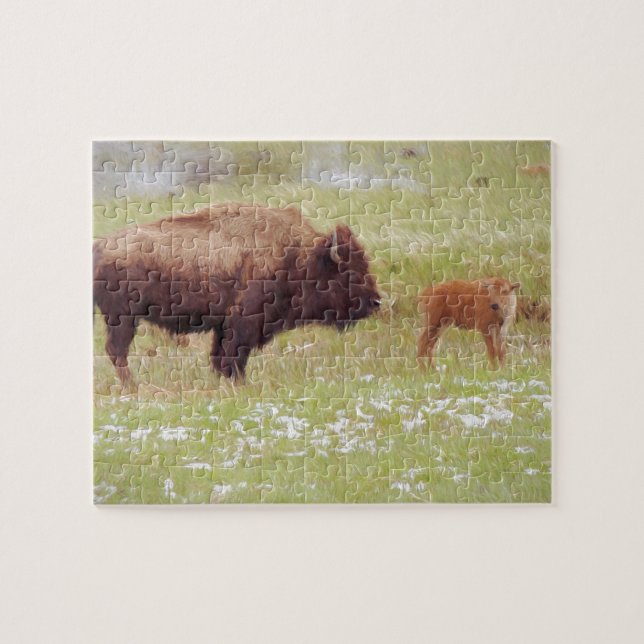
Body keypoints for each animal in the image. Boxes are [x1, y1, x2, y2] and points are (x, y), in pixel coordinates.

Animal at [93, 203, 381, 383]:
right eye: (349, 272)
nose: (376, 301)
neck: (300, 256)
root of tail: (100, 246)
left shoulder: (225, 327)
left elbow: (221, 357)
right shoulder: (243, 323)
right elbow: (233, 358)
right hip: (123, 318)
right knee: (117, 351)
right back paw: (134, 388)